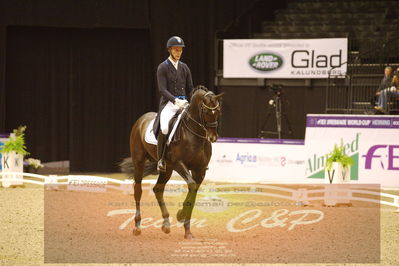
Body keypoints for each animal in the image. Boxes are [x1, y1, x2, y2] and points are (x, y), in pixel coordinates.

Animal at [120, 86, 223, 240]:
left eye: (218, 110)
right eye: (205, 111)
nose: (213, 137)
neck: (194, 136)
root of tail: (141, 119)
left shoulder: (199, 170)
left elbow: (193, 191)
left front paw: (187, 230)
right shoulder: (178, 164)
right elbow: (191, 185)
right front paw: (180, 216)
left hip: (167, 169)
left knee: (158, 189)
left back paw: (166, 224)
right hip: (139, 162)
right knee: (138, 190)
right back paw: (137, 226)